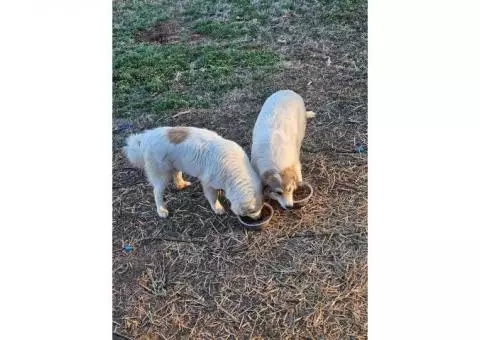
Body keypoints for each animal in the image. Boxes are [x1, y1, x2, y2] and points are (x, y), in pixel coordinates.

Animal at [121, 126, 262, 219]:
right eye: (252, 211)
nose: (258, 218)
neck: (236, 173)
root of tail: (144, 139)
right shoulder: (207, 184)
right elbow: (213, 197)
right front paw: (218, 208)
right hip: (162, 176)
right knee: (156, 192)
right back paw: (161, 210)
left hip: (175, 165)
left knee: (177, 176)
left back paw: (182, 184)